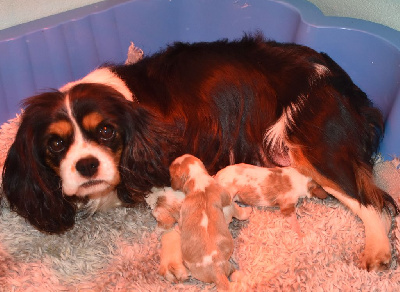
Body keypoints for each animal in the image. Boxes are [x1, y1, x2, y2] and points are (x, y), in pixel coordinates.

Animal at [1, 33, 396, 270]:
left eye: (106, 131)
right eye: (56, 143)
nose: (86, 165)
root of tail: (344, 82)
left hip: (314, 147)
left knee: (373, 203)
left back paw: (378, 251)